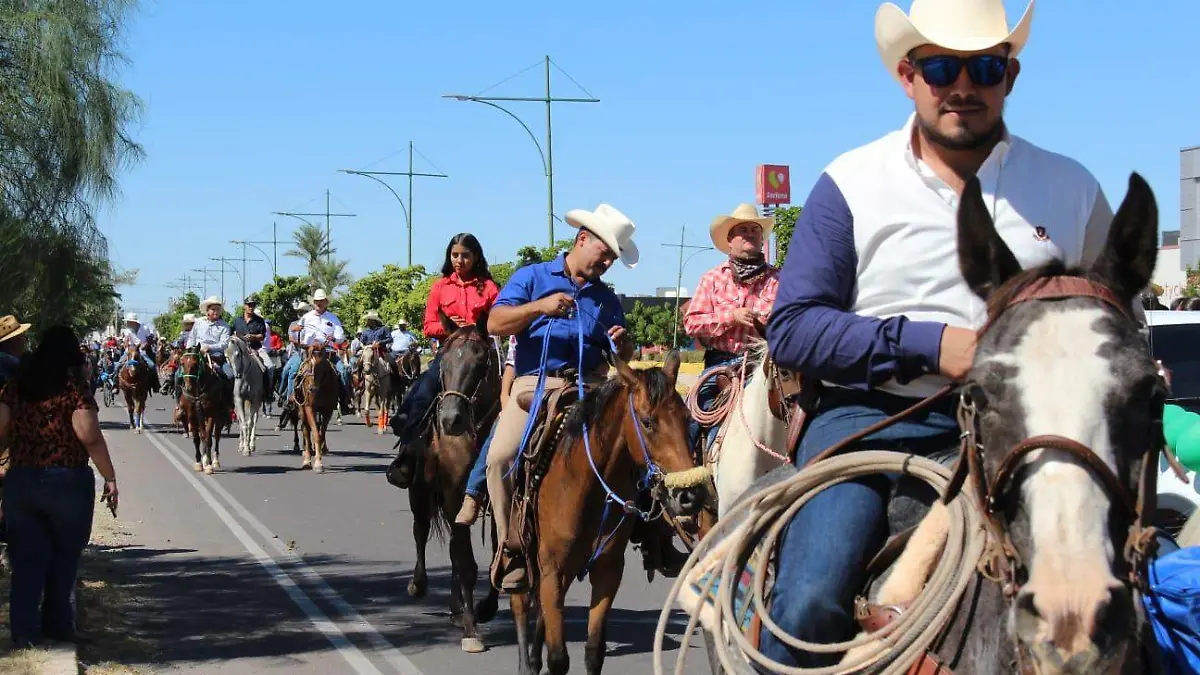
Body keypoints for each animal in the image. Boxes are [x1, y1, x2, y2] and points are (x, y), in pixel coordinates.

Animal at [177, 345, 234, 473]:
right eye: (182, 363)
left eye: (195, 363)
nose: (188, 387)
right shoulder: (192, 415)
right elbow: (197, 438)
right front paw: (199, 463)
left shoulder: (211, 415)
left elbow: (208, 438)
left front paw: (208, 465)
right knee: (203, 435)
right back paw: (204, 459)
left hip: (220, 416)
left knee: (216, 436)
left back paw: (214, 461)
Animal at [400, 314, 499, 653]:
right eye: (443, 363)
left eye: (481, 362)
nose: (450, 420)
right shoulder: (455, 497)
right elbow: (465, 562)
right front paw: (471, 629)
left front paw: (485, 608)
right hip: (419, 493)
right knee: (420, 530)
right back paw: (420, 584)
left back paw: (457, 608)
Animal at [511, 353, 705, 672]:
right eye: (647, 422)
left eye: (687, 419)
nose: (690, 495)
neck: (585, 486)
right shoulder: (553, 569)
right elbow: (558, 658)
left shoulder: (607, 570)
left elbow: (593, 651)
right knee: (520, 603)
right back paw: (526, 663)